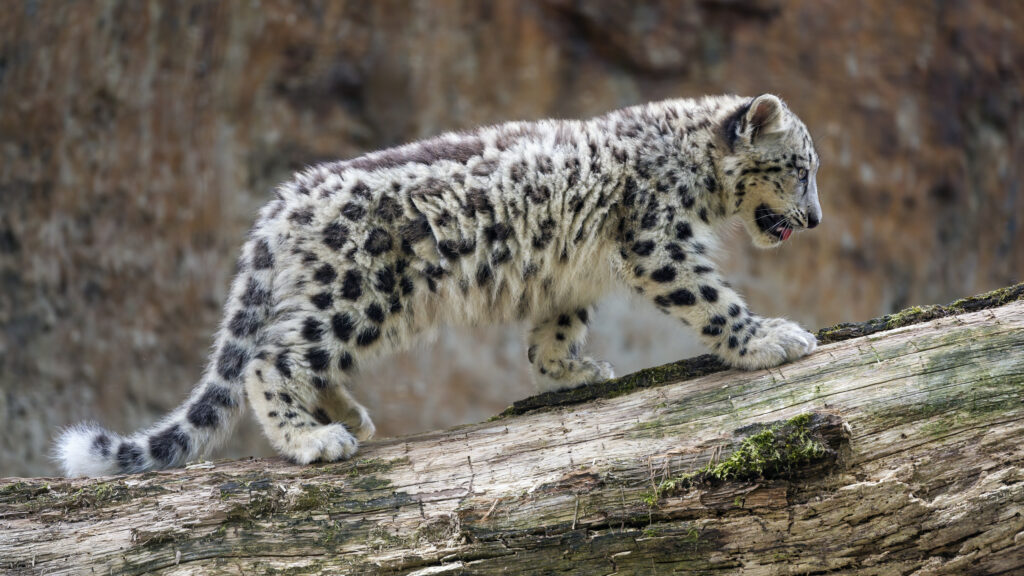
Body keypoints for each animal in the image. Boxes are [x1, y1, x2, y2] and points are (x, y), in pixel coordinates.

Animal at [57, 93, 822, 477]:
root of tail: (284, 201)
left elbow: (551, 332)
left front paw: (576, 370)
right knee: (272, 358)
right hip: (355, 295)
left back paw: (347, 414)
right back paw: (313, 440)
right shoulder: (659, 242)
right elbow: (712, 299)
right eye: (800, 168)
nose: (815, 219)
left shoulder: (574, 272)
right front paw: (772, 339)